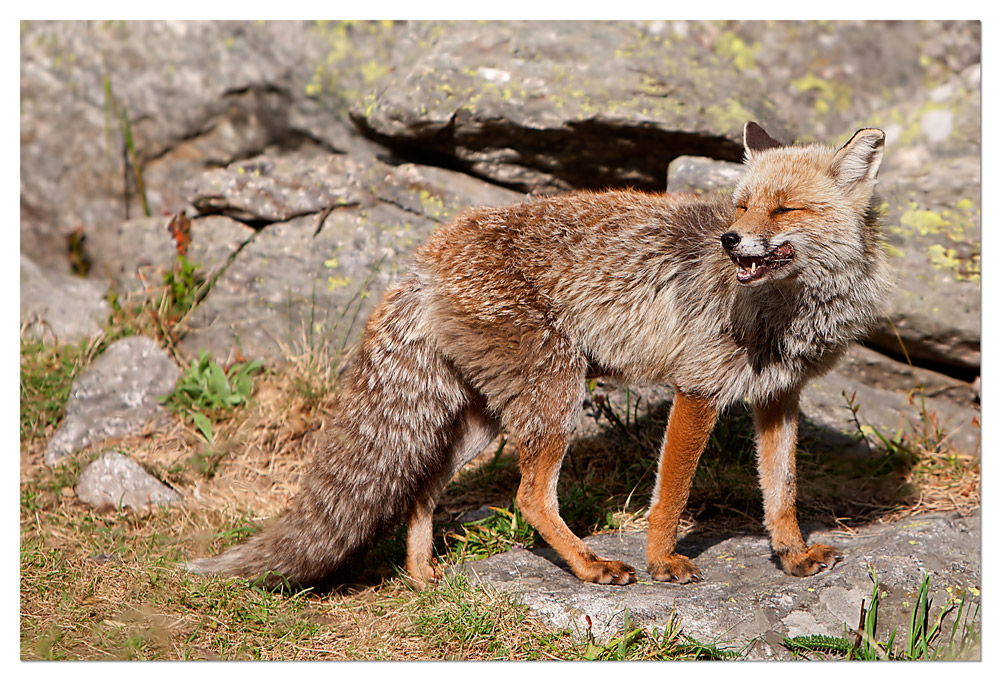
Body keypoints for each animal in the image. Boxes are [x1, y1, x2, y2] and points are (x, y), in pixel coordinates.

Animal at [187, 122, 891, 589]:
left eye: (785, 208)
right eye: (742, 206)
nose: (730, 240)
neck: (789, 313)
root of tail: (424, 259)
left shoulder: (779, 396)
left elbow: (783, 493)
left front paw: (792, 555)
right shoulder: (698, 388)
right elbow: (672, 495)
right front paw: (661, 561)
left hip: (481, 422)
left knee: (421, 491)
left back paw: (422, 577)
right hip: (555, 399)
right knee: (529, 498)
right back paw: (589, 566)